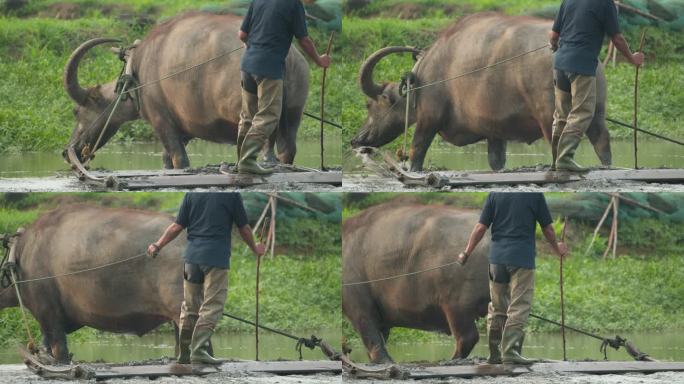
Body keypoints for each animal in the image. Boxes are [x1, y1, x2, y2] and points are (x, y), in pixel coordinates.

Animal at [64, 12, 310, 168]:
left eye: (77, 112)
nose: (67, 152)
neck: (136, 75)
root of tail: (288, 56)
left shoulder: (162, 121)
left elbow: (178, 160)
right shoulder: (185, 128)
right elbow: (167, 159)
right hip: (294, 112)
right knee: (287, 147)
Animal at [342, 202, 492, 364]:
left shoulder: (359, 306)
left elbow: (371, 335)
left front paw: (384, 361)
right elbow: (380, 336)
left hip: (456, 304)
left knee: (467, 337)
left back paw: (449, 359)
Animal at [352, 12, 608, 171]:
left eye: (370, 104)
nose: (357, 139)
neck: (422, 79)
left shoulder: (428, 118)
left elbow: (417, 151)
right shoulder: (496, 131)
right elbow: (496, 161)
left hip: (549, 115)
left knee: (558, 141)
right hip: (597, 112)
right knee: (600, 140)